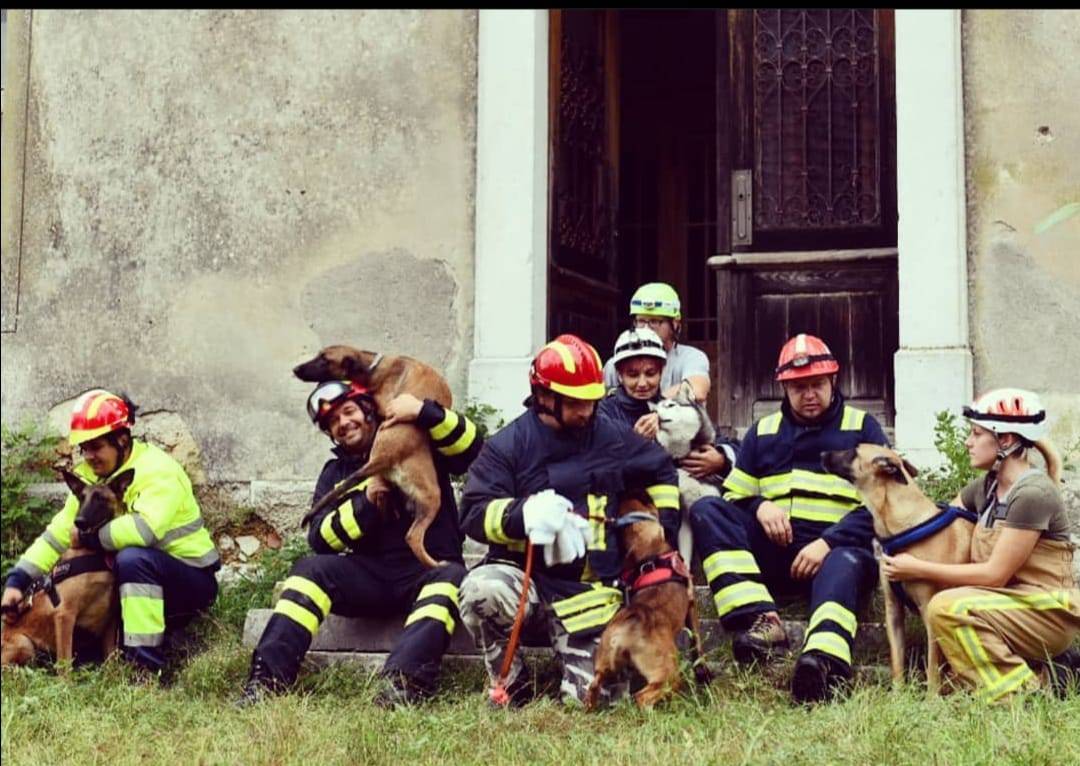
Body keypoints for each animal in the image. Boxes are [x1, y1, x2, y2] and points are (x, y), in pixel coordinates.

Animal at [0, 466, 129, 669]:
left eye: (100, 498)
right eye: (81, 498)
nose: (79, 522)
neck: (95, 553)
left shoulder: (111, 619)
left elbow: (110, 656)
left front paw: (113, 673)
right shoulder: (65, 615)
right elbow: (65, 662)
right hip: (24, 643)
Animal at [291, 343, 451, 566]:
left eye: (324, 359)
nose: (295, 369)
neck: (374, 368)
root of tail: (387, 456)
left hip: (432, 497)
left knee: (413, 536)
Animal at [587, 492, 712, 708]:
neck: (650, 555)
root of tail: (631, 622)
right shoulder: (692, 604)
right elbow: (696, 641)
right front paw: (702, 671)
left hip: (604, 665)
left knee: (593, 687)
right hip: (668, 675)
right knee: (642, 697)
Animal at [820, 442, 976, 691]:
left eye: (853, 451)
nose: (821, 454)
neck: (903, 530)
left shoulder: (929, 613)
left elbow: (932, 666)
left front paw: (931, 697)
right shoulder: (893, 611)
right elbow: (897, 662)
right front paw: (898, 693)